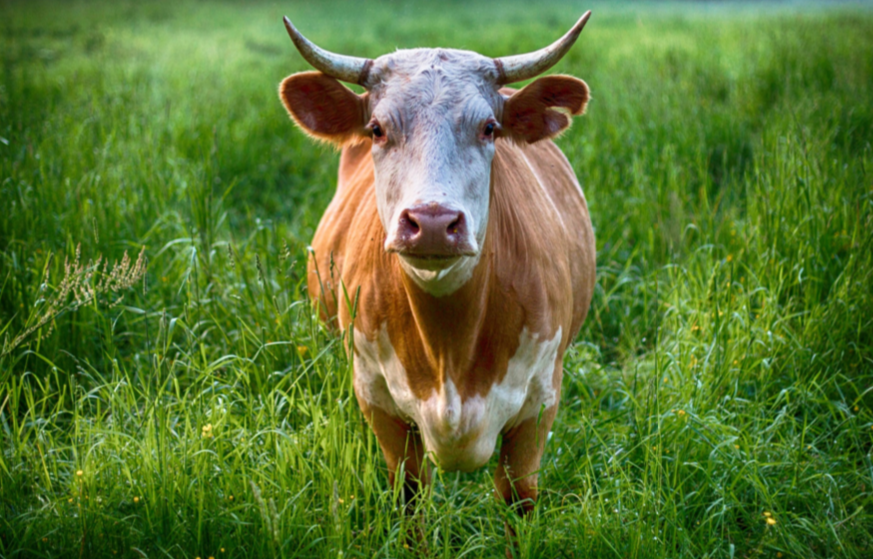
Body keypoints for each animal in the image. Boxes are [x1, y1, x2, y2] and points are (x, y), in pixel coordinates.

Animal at [276, 8, 596, 524]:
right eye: (377, 129)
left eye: (489, 128)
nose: (431, 223)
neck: (450, 345)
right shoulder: (377, 400)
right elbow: (410, 498)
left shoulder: (539, 404)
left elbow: (518, 500)